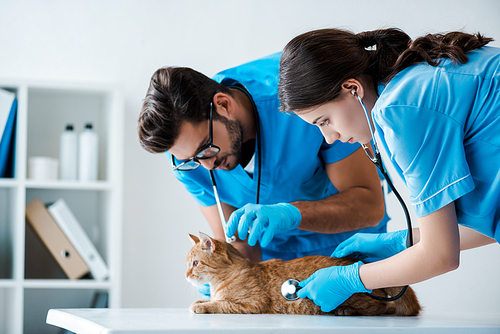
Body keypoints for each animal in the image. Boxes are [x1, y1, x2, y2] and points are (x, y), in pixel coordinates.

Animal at [186, 232, 420, 316]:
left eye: (195, 263)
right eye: (188, 263)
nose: (186, 275)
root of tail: (360, 263)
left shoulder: (253, 303)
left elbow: (221, 304)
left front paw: (202, 306)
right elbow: (210, 299)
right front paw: (199, 301)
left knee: (385, 306)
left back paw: (345, 311)